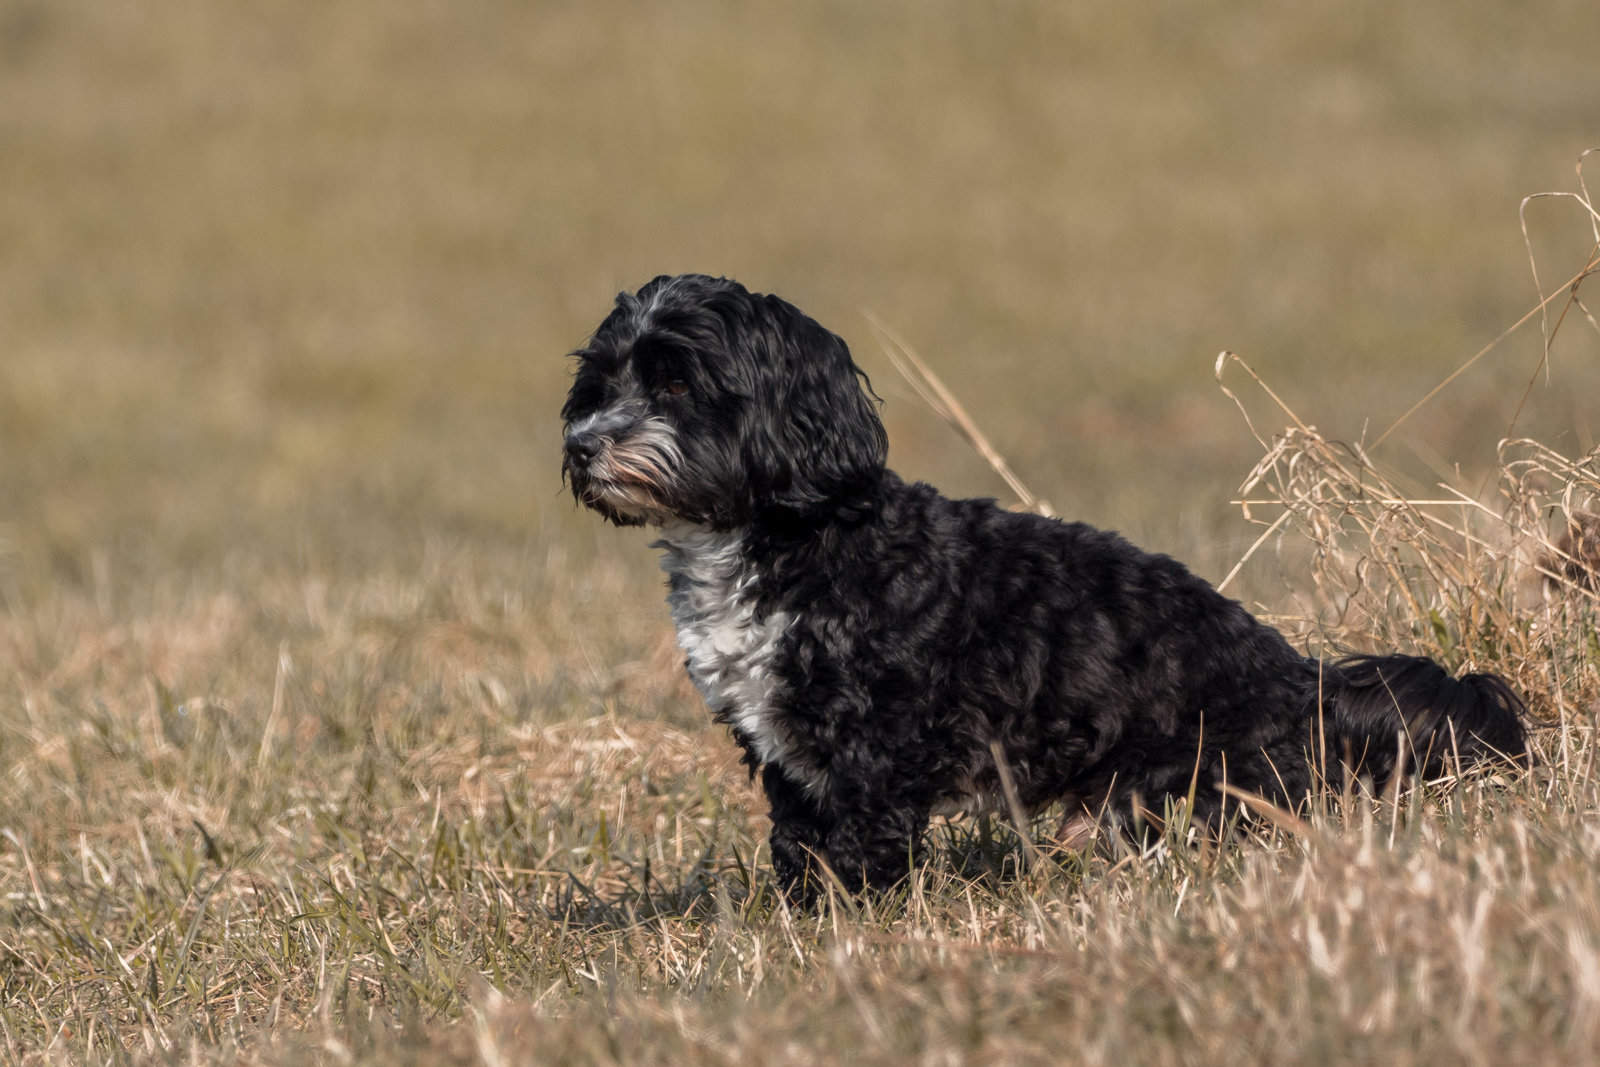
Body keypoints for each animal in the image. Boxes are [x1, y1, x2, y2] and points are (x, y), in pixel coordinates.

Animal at [560, 271, 1523, 895]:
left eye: (677, 382)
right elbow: (800, 839)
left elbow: (864, 838)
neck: (788, 534)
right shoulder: (783, 749)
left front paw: (853, 916)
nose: (582, 443)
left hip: (1181, 784)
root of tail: (1306, 683)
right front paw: (798, 912)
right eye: (599, 382)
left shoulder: (883, 739)